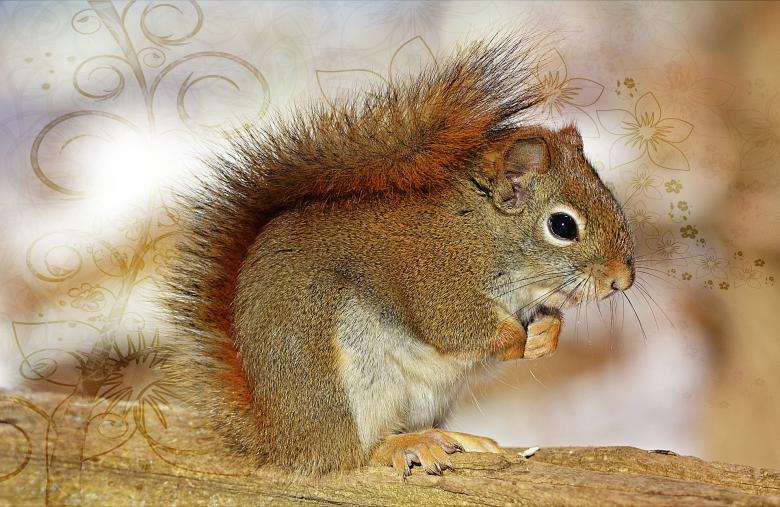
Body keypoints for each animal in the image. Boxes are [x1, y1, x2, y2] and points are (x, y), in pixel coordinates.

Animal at [162, 35, 635, 478]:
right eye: (562, 226)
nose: (622, 280)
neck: (484, 233)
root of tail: (280, 438)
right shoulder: (437, 278)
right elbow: (457, 328)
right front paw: (517, 339)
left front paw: (546, 335)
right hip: (344, 383)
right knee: (355, 452)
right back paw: (405, 445)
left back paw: (454, 438)